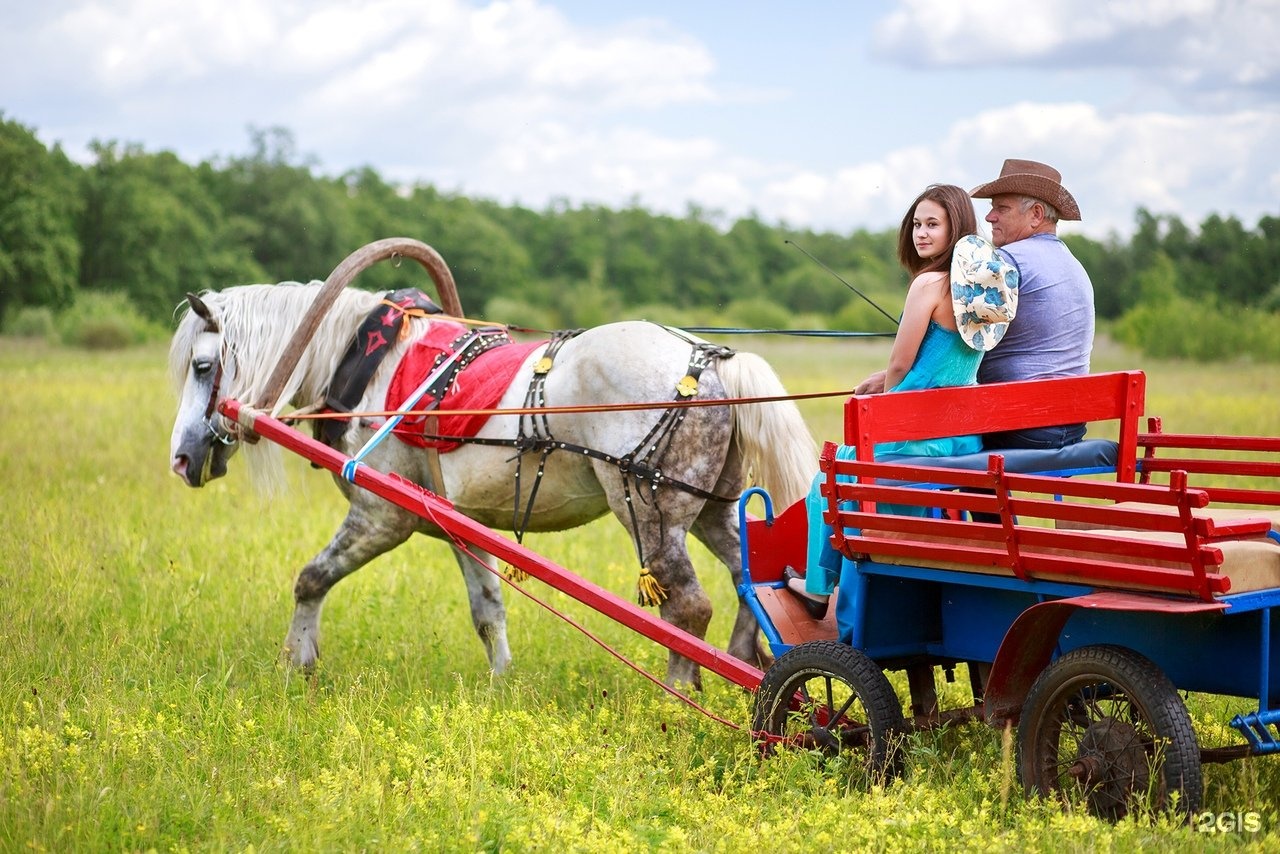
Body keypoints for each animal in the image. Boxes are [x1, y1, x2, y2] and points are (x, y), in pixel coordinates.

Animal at [170, 280, 814, 686]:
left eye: (203, 367)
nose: (181, 459)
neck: (372, 364)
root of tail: (715, 361)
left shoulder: (383, 516)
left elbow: (310, 578)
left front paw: (297, 663)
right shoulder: (461, 523)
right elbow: (488, 608)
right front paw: (501, 684)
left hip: (650, 510)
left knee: (690, 607)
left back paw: (680, 699)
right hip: (712, 506)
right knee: (752, 578)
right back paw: (748, 659)